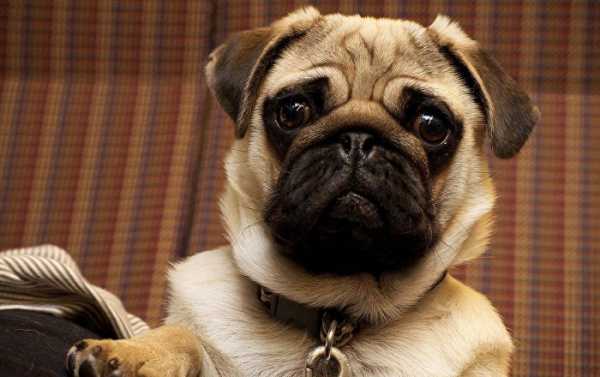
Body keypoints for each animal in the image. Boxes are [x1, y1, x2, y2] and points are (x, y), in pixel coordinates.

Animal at [65, 6, 540, 376]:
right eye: (293, 111)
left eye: (431, 125)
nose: (358, 139)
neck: (334, 316)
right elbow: (182, 336)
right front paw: (132, 354)